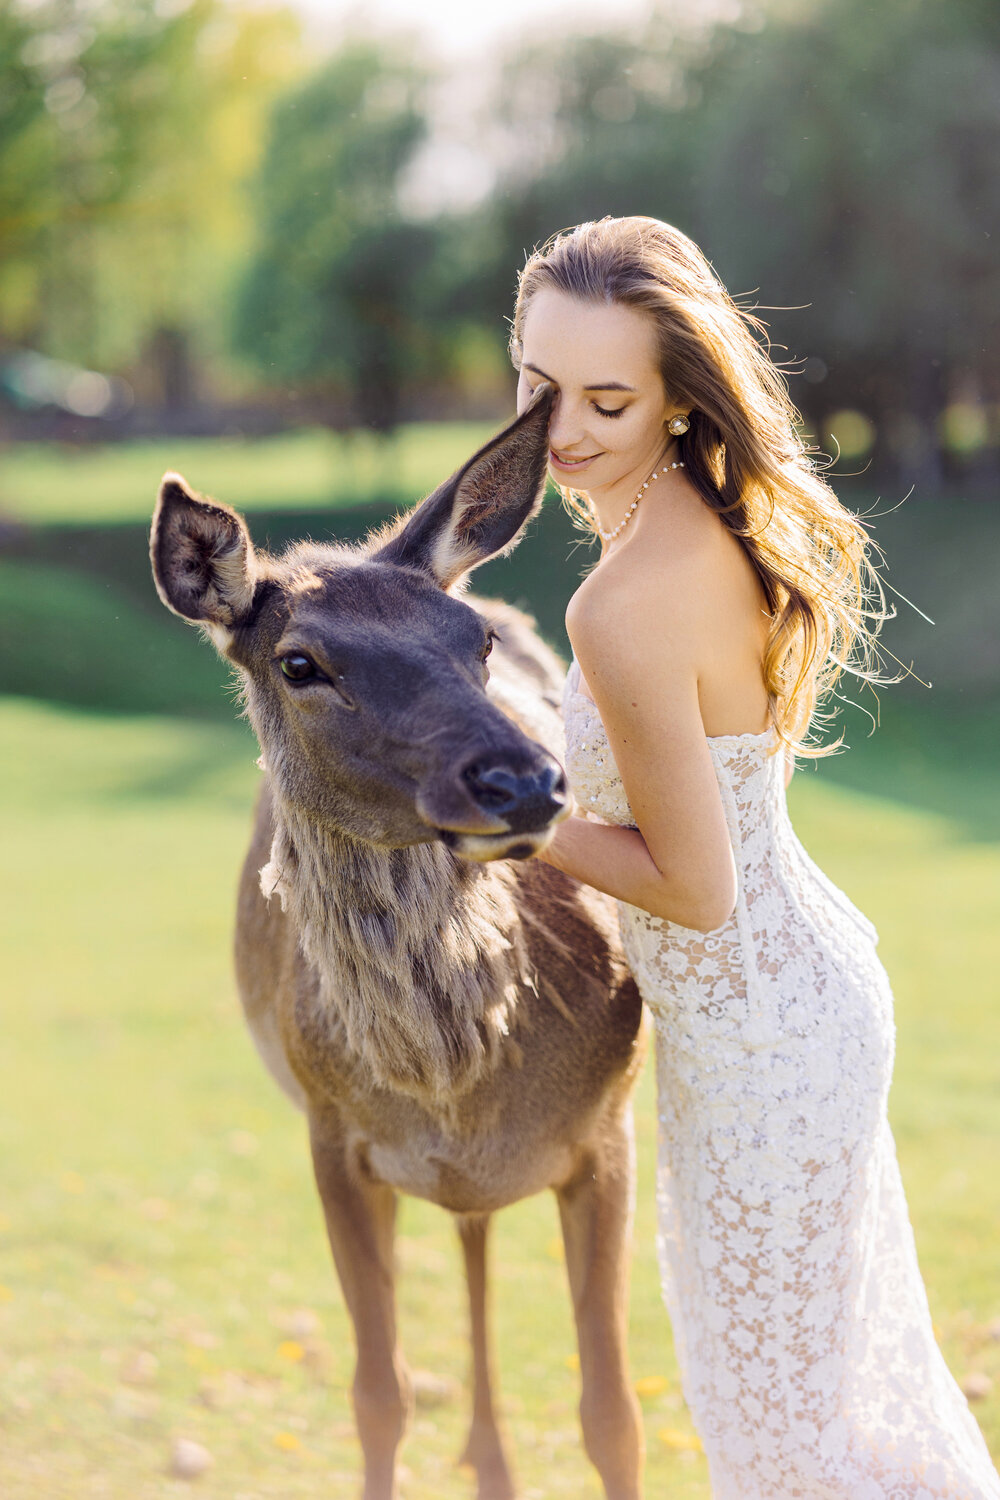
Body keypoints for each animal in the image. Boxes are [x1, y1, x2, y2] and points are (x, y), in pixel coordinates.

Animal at [150, 384, 647, 1500]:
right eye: (300, 662)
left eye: (477, 642)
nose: (522, 779)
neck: (452, 1082)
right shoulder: (331, 1139)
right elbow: (379, 1395)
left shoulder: (606, 1134)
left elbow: (613, 1414)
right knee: (468, 1233)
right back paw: (486, 1459)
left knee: (475, 1230)